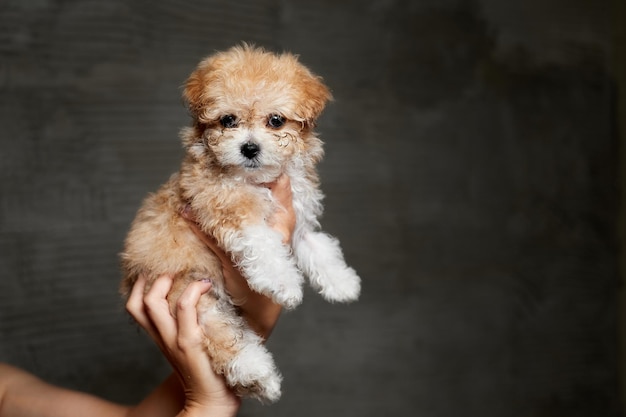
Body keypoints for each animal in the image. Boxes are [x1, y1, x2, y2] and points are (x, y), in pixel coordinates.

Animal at [120, 44, 360, 402]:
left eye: (276, 120)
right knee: (221, 335)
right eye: (228, 120)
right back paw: (255, 373)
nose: (249, 148)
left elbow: (318, 247)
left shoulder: (297, 222)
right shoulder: (229, 211)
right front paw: (284, 284)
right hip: (188, 291)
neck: (254, 179)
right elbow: (263, 246)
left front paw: (342, 281)